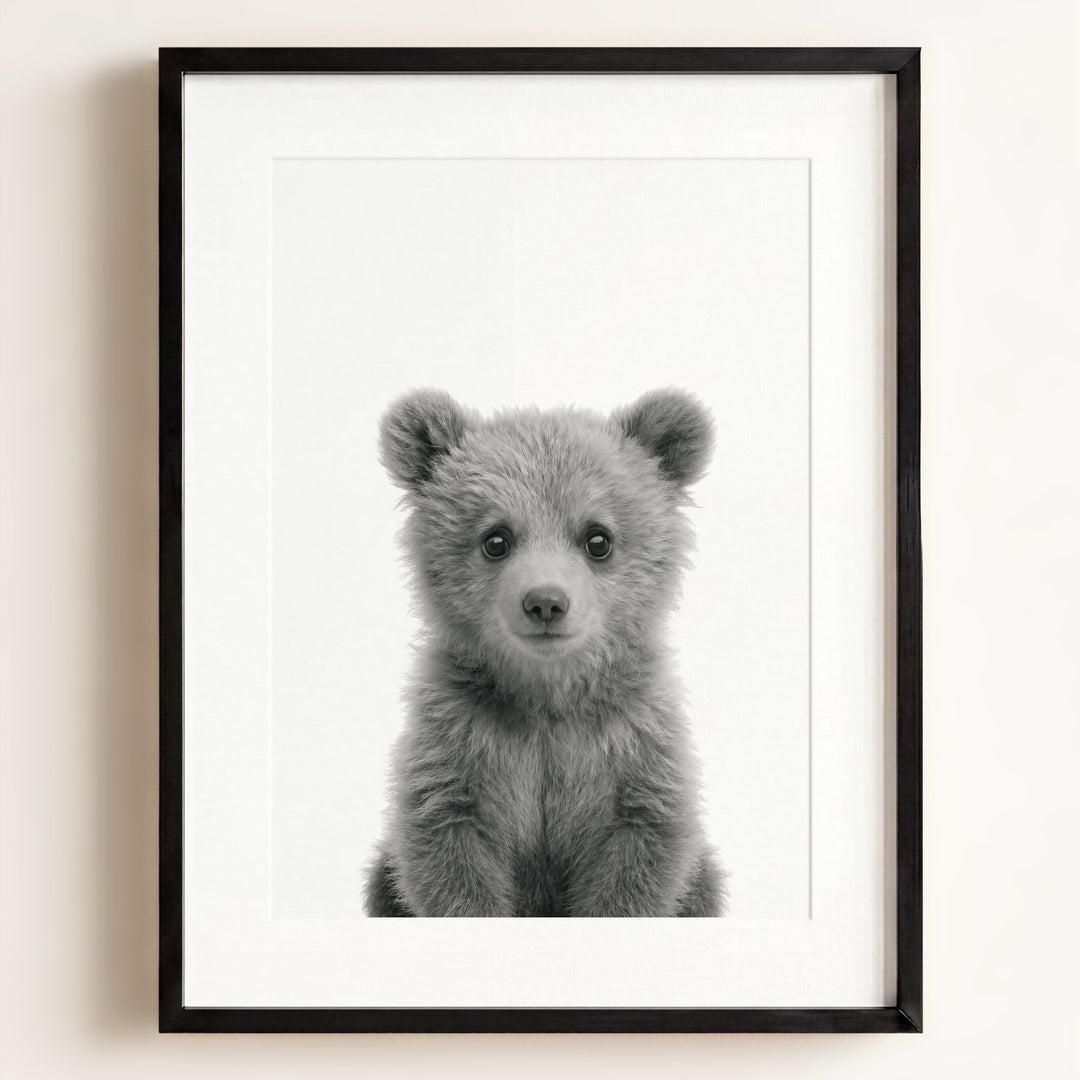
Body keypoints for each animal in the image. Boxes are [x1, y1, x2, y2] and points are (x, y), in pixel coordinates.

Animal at [365, 387, 726, 917]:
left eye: (598, 538)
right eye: (496, 539)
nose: (546, 602)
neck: (546, 695)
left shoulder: (633, 745)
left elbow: (640, 854)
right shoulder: (459, 742)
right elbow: (448, 851)